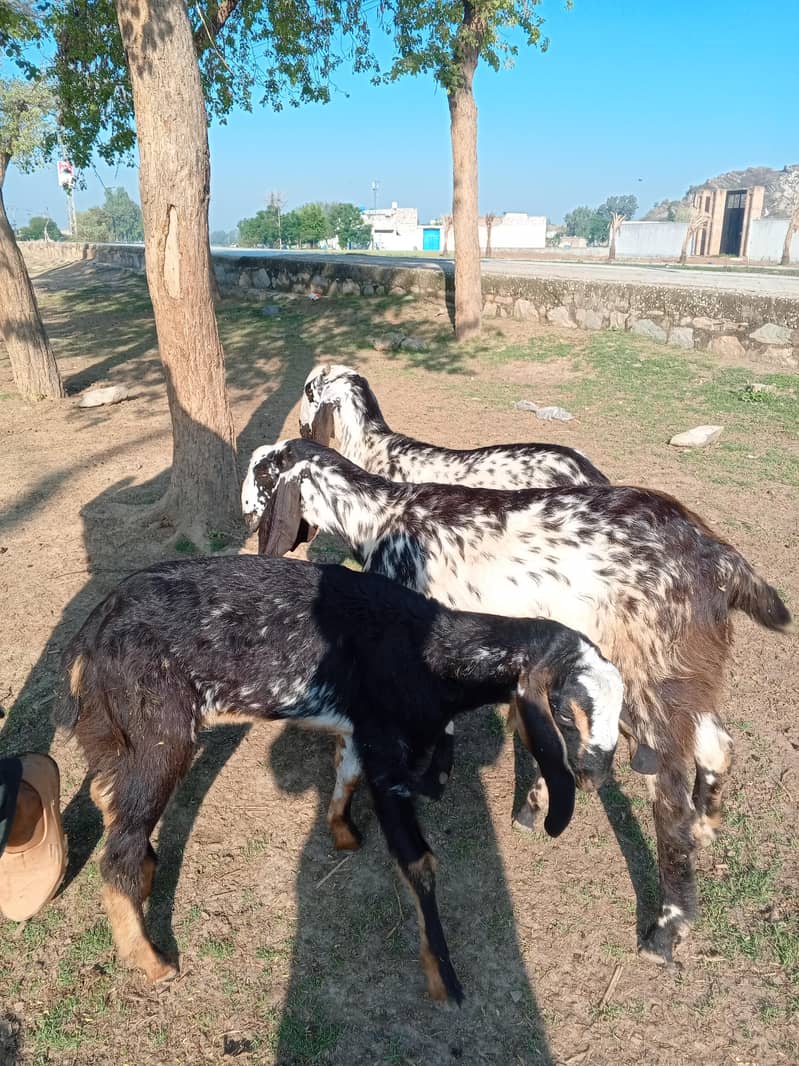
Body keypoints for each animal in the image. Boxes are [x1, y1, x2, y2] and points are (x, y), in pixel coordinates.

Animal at [55, 554, 623, 1003]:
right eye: (565, 713)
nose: (595, 777)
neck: (431, 650)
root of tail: (88, 639)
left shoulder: (361, 732)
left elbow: (346, 778)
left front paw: (344, 832)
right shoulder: (389, 755)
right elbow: (419, 861)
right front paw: (444, 979)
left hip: (113, 731)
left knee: (108, 797)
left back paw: (148, 874)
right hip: (160, 733)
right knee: (118, 848)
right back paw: (150, 960)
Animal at [242, 437, 792, 965]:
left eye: (259, 472)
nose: (245, 513)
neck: (380, 517)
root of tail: (718, 557)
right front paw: (445, 778)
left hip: (652, 672)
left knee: (669, 798)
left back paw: (666, 928)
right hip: (682, 674)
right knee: (714, 743)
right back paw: (699, 823)